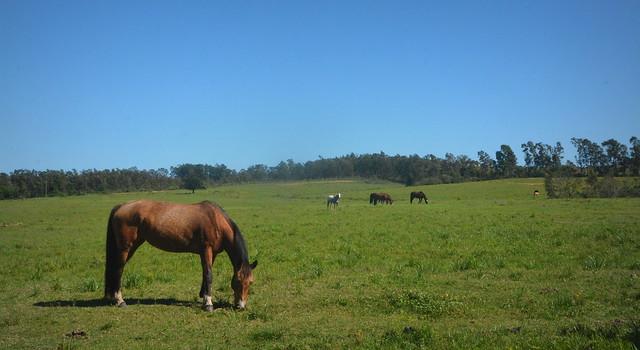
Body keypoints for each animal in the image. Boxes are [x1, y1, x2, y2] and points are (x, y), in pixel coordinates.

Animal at [104, 200, 256, 312]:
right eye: (237, 281)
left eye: (250, 282)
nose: (241, 306)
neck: (216, 220)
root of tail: (121, 206)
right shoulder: (206, 250)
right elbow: (209, 275)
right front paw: (208, 303)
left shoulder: (211, 254)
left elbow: (205, 274)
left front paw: (203, 296)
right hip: (125, 248)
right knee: (118, 270)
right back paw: (120, 301)